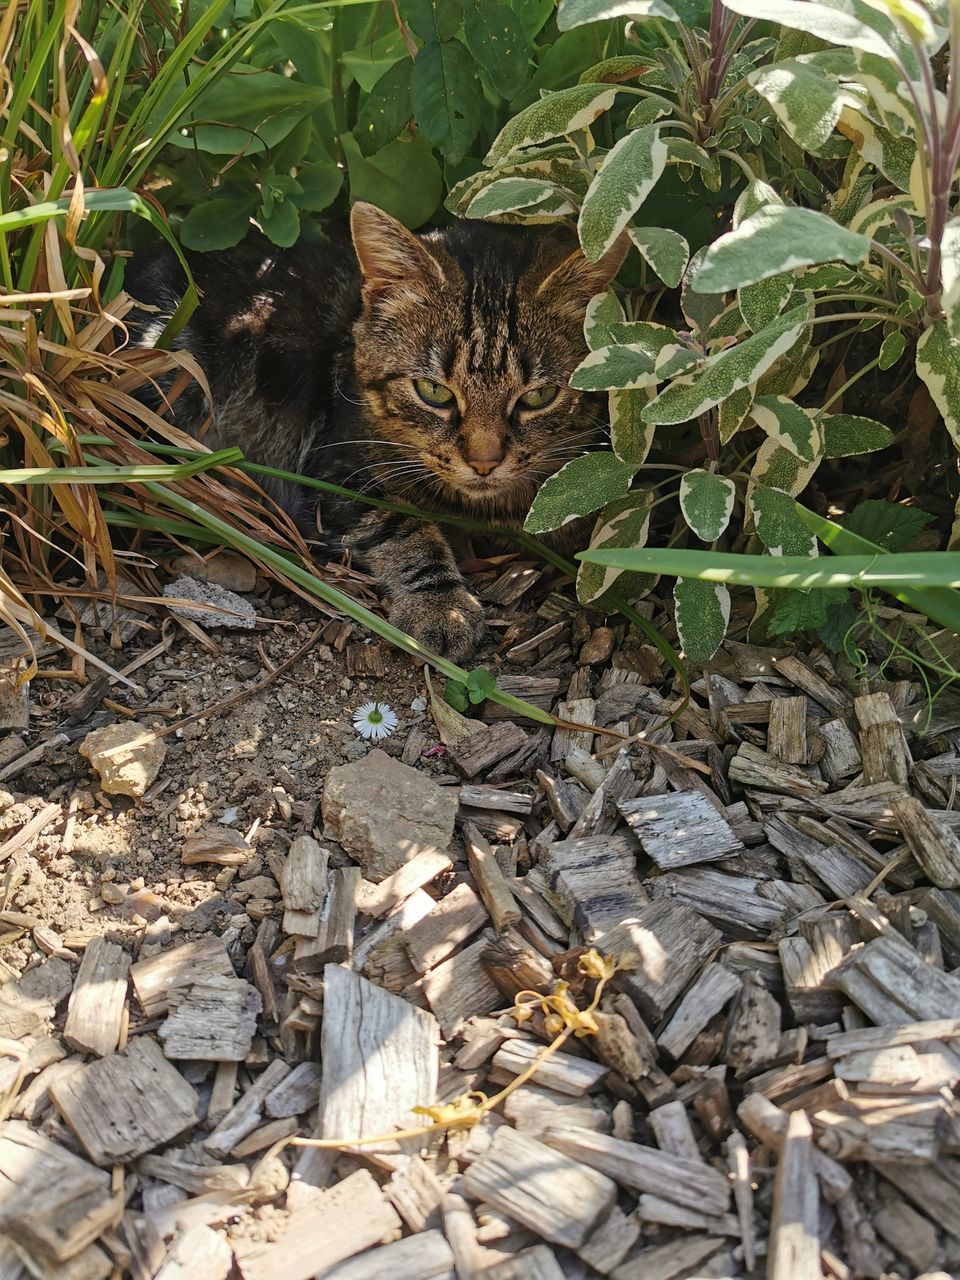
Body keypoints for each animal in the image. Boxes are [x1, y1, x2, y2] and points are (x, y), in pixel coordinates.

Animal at [128, 202, 627, 660]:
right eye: (434, 392)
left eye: (537, 397)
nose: (484, 462)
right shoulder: (335, 472)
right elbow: (401, 527)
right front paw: (440, 606)